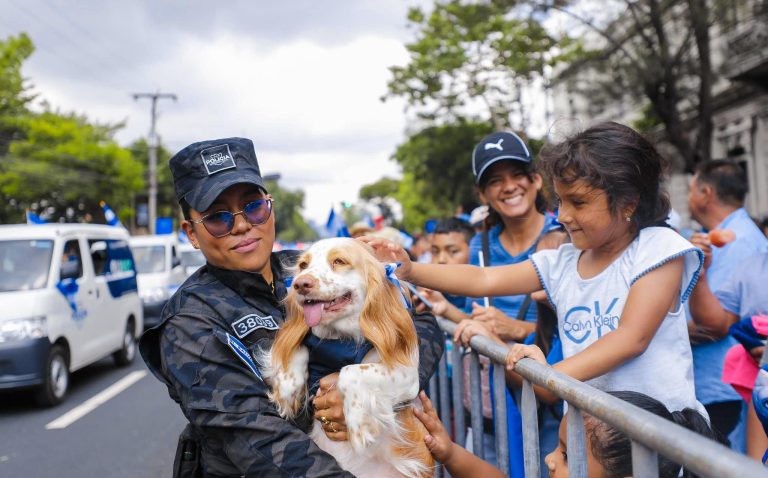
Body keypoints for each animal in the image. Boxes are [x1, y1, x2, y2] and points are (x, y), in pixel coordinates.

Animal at [262, 238, 432, 478]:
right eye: (303, 265)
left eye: (339, 261)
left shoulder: (406, 375)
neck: (339, 340)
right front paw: (287, 390)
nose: (301, 284)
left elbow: (350, 371)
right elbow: (299, 347)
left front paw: (359, 424)